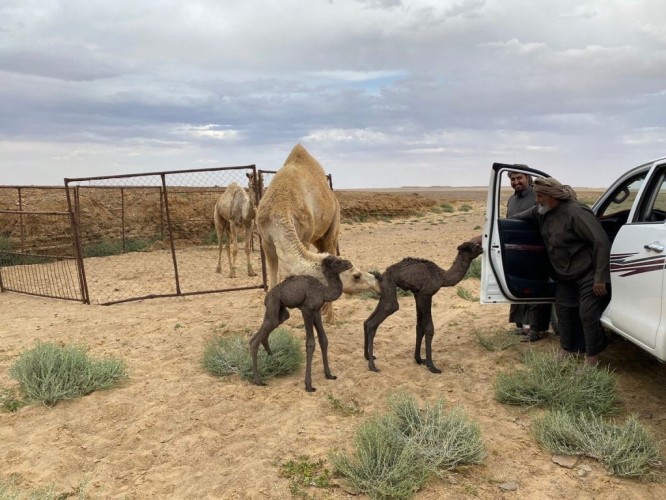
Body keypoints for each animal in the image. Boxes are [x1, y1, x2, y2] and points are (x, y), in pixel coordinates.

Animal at [255, 144, 378, 324]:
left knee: (330, 245)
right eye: (356, 275)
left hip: (333, 224)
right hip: (318, 238)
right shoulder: (266, 241)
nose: (375, 282)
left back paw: (330, 316)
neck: (281, 208)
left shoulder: (304, 238)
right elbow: (272, 278)